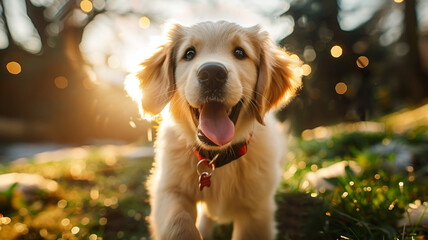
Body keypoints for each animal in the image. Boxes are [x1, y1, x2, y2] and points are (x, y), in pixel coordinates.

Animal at [137, 21, 300, 240]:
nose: (212, 74)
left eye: (240, 52)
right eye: (189, 53)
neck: (216, 157)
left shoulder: (257, 208)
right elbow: (178, 223)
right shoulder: (169, 189)